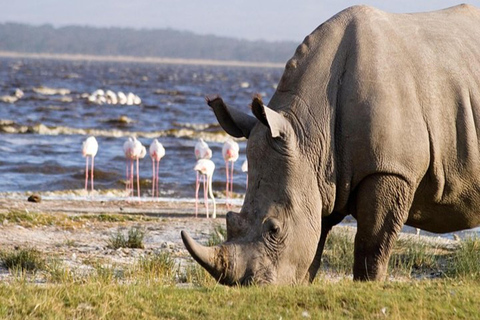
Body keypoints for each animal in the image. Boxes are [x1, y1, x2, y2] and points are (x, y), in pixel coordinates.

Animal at [182, 4, 480, 284]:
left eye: (274, 229)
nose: (249, 286)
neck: (309, 134)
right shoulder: (317, 174)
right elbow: (314, 244)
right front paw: (299, 286)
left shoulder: (392, 169)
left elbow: (372, 245)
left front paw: (366, 286)